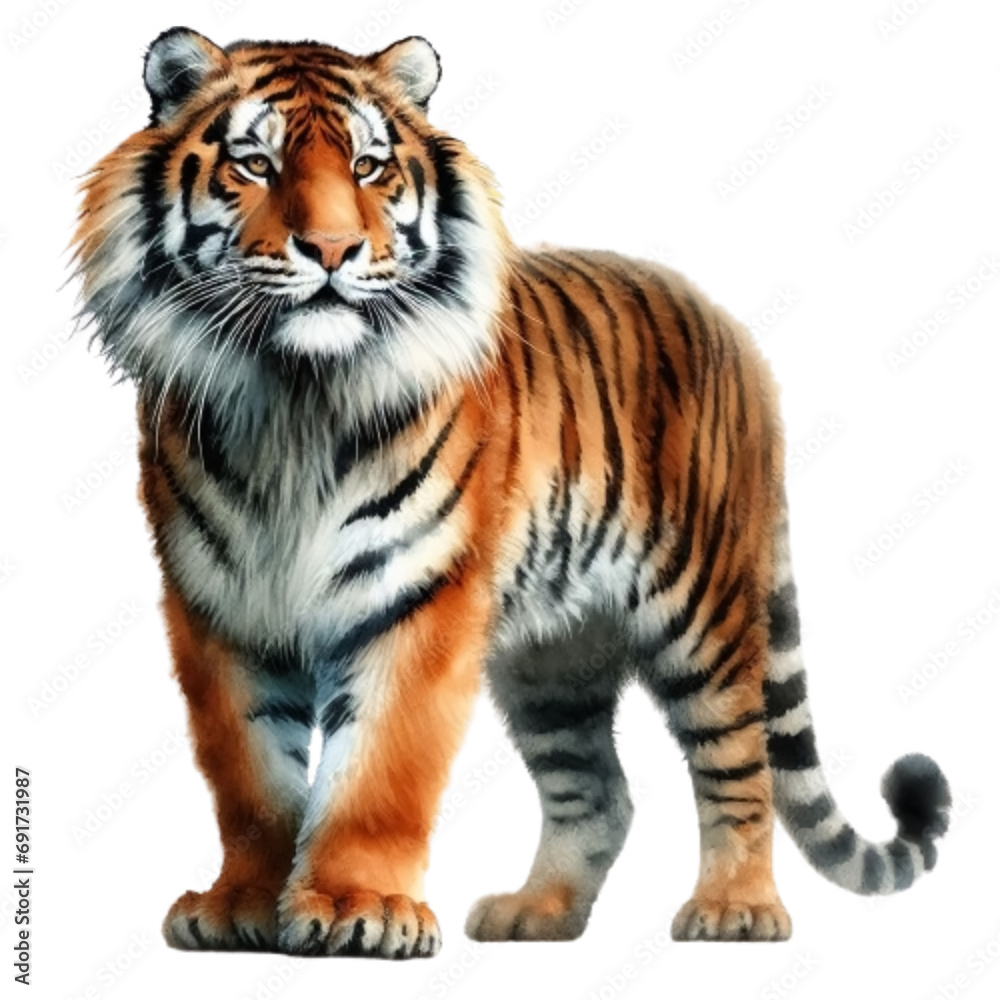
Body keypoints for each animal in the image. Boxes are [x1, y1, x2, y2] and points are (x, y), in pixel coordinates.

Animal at [72, 27, 952, 957]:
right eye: (254, 164)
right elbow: (247, 774)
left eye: (369, 167)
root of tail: (731, 330)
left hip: (704, 613)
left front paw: (358, 908)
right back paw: (538, 912)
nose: (334, 251)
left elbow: (381, 766)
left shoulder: (418, 599)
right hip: (551, 659)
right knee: (598, 792)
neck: (296, 395)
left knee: (738, 762)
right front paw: (242, 905)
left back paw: (736, 908)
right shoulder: (220, 606)